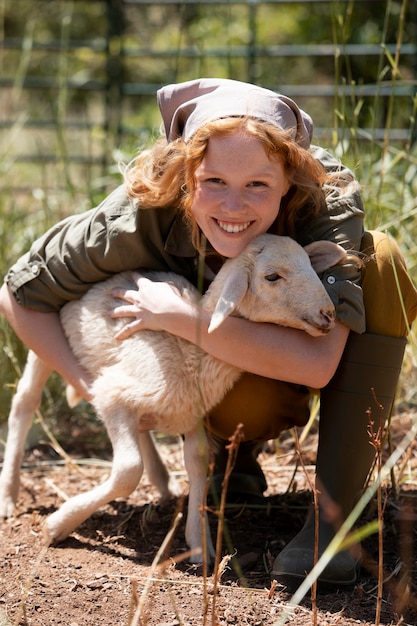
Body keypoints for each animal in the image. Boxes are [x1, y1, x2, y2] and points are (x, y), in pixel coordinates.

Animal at [0, 233, 344, 560]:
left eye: (310, 265)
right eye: (272, 277)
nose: (328, 313)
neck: (188, 351)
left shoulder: (193, 415)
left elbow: (198, 463)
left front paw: (200, 544)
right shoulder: (112, 394)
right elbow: (128, 471)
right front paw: (59, 524)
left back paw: (163, 481)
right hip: (45, 344)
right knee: (24, 402)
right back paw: (8, 495)